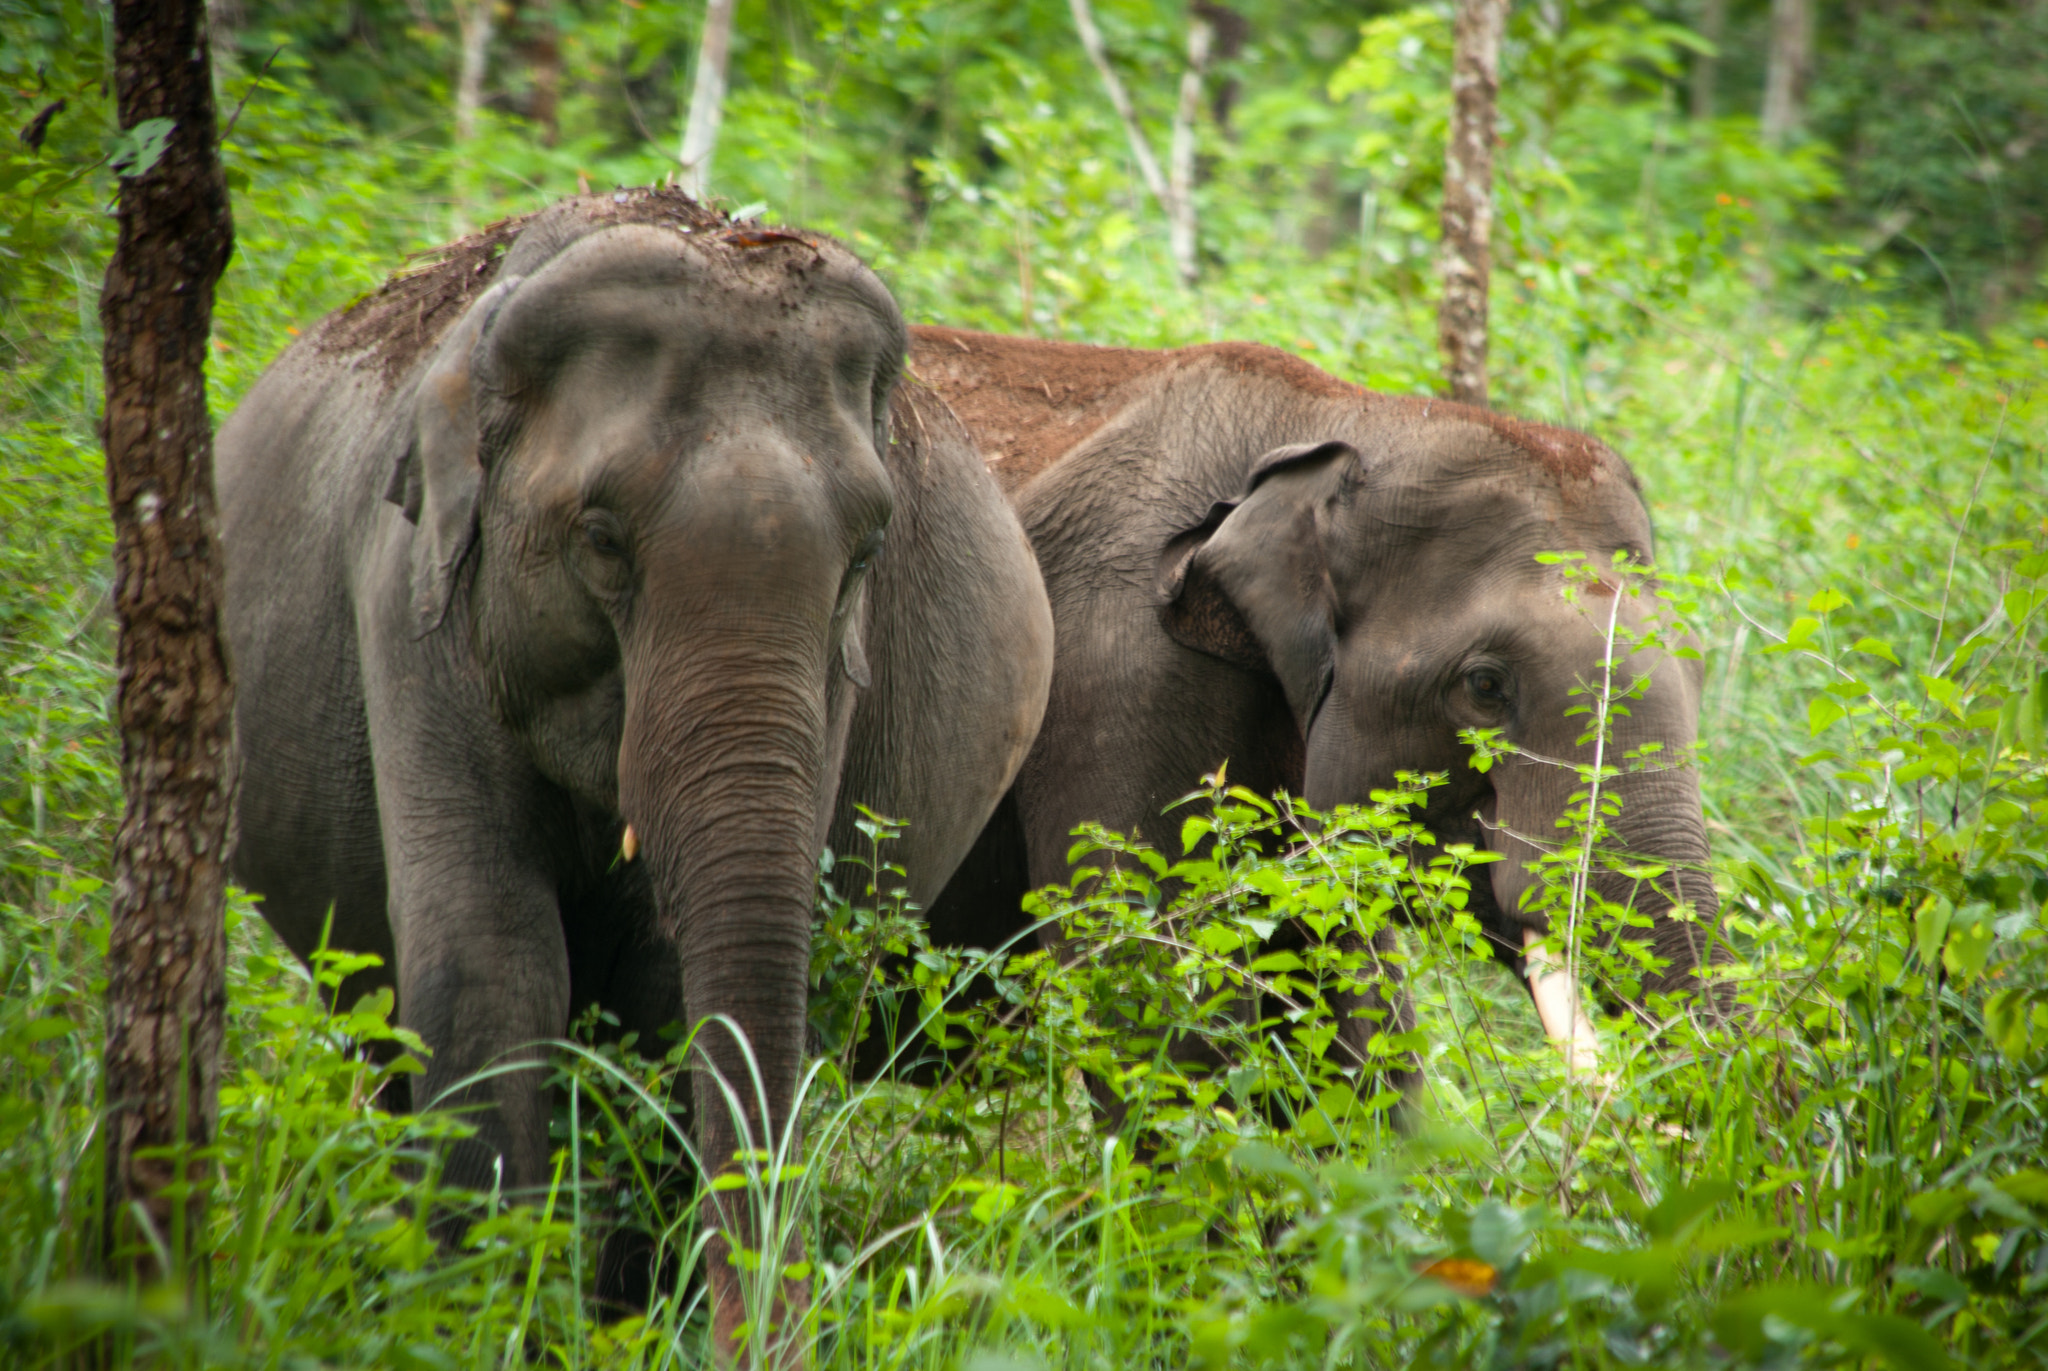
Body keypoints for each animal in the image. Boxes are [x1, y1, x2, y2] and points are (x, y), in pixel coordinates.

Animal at [220, 189, 1056, 1344]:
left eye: (867, 554)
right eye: (603, 539)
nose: (778, 1336)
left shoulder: (844, 667)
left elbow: (663, 993)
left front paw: (627, 1325)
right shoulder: (411, 595)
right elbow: (489, 955)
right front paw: (485, 1317)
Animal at [913, 325, 1728, 1098]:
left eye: (1701, 666)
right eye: (1486, 687)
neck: (1341, 418)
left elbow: (1353, 1023)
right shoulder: (1118, 669)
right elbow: (1153, 1006)